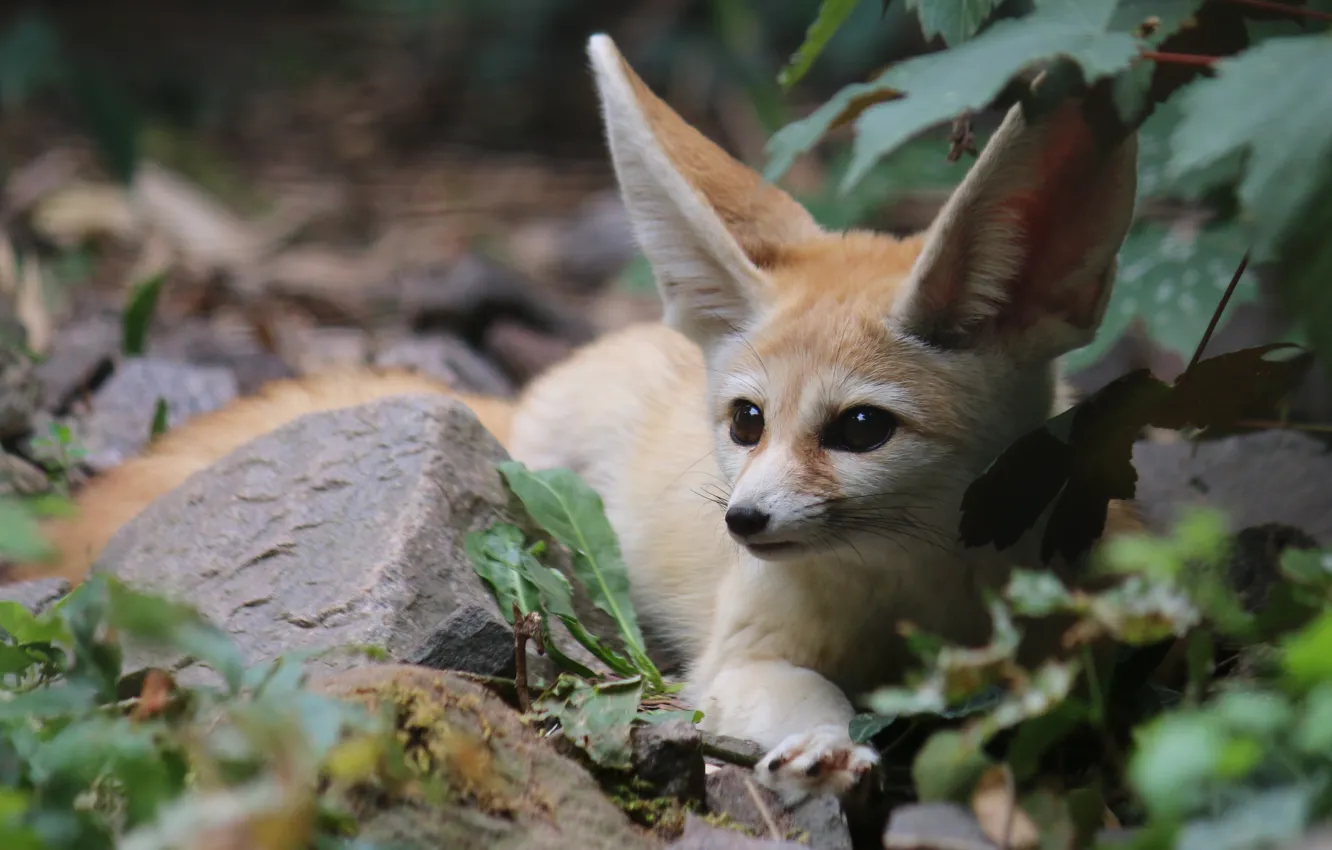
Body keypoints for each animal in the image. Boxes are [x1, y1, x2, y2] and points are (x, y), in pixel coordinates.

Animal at [14, 35, 1142, 801]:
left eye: (861, 429)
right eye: (746, 420)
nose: (743, 521)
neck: (915, 596)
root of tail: (530, 388)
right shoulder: (736, 659)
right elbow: (803, 694)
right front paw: (826, 746)